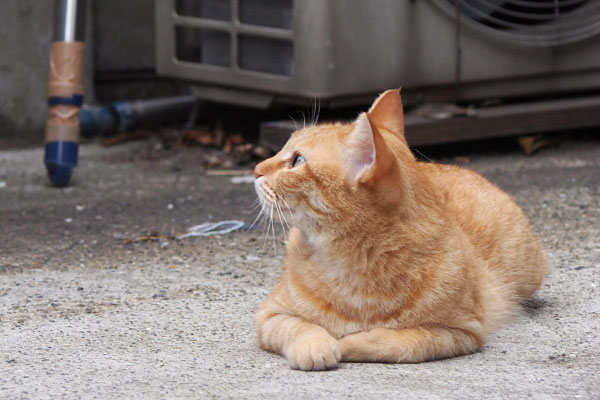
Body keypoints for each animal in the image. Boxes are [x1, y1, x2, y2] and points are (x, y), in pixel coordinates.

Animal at [253, 89, 548, 370]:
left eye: (297, 160)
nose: (255, 170)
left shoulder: (459, 333)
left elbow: (396, 342)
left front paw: (349, 342)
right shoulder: (270, 315)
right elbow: (300, 327)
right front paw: (316, 346)